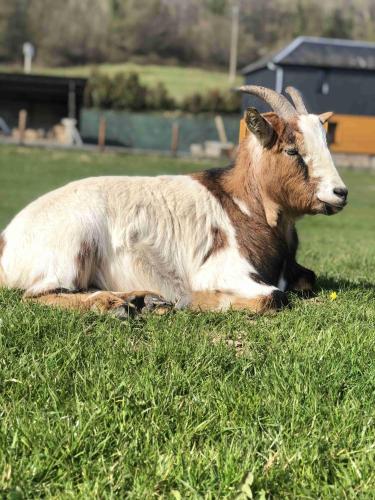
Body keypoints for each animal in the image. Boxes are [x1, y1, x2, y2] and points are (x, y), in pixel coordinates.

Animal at [0, 85, 350, 316]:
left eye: (326, 143)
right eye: (292, 150)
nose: (340, 193)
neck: (243, 206)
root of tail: (7, 239)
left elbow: (307, 279)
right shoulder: (223, 271)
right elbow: (274, 297)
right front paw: (187, 300)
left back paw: (140, 300)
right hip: (72, 245)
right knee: (38, 294)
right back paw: (121, 304)